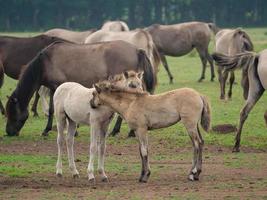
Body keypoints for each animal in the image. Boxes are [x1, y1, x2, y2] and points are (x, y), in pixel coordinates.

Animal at [5, 40, 157, 138]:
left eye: (12, 113)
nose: (8, 132)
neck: (45, 63)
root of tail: (137, 50)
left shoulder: (57, 87)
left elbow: (54, 109)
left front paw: (49, 130)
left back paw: (120, 131)